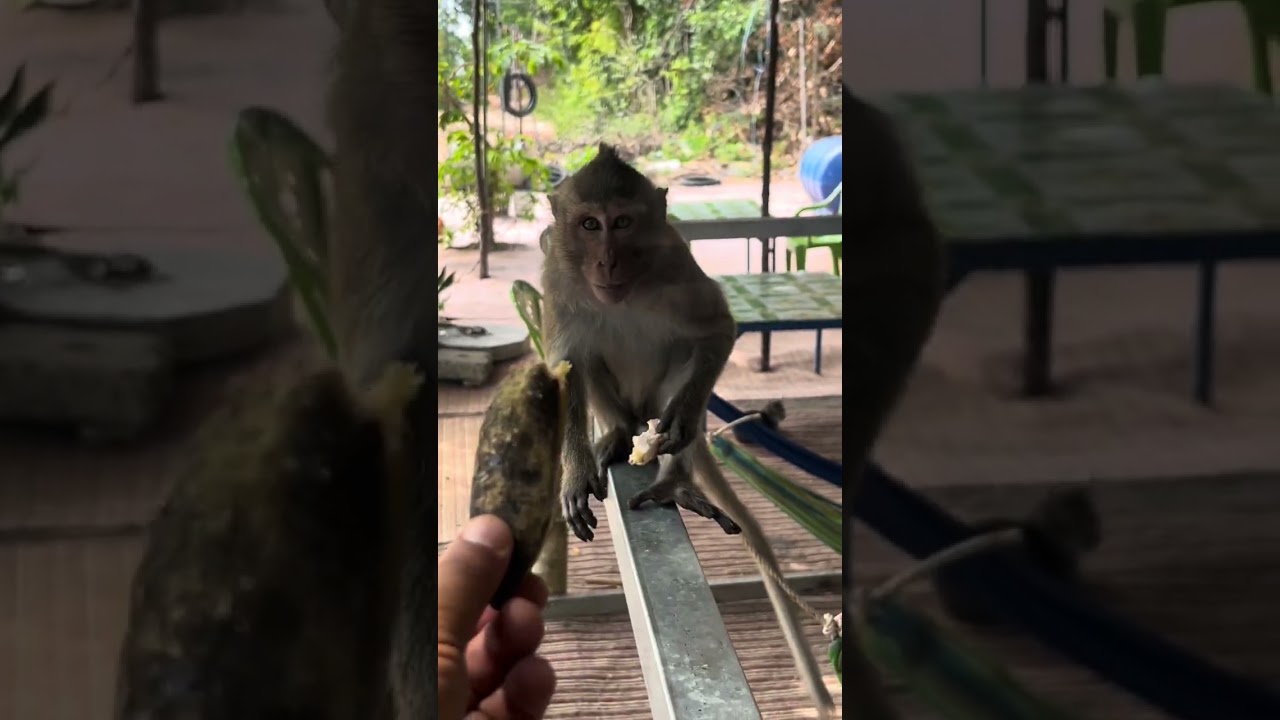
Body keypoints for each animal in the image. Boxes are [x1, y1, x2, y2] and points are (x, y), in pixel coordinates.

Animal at [540, 144, 835, 716]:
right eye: (589, 224)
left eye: (622, 222)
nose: (607, 260)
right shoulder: (557, 282)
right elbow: (566, 366)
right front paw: (575, 472)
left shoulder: (676, 266)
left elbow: (717, 329)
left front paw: (677, 429)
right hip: (626, 403)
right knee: (591, 366)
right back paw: (617, 435)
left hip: (660, 397)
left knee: (685, 362)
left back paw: (674, 475)